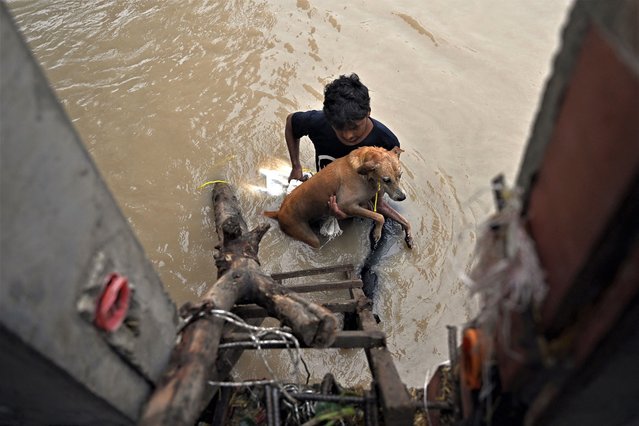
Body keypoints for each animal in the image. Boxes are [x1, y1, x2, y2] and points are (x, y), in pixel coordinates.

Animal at [262, 146, 412, 248]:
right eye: (386, 180)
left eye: (400, 175)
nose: (402, 197)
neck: (363, 173)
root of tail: (279, 212)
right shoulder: (346, 205)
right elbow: (380, 217)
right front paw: (377, 233)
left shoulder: (370, 204)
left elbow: (402, 219)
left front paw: (409, 235)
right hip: (305, 234)